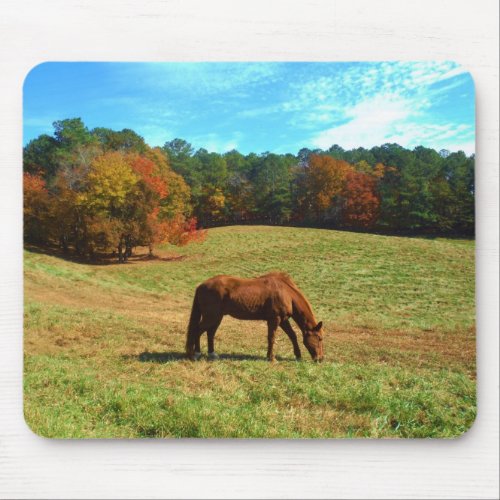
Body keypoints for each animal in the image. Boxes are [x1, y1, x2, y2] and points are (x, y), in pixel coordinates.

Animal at [185, 272, 324, 362]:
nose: (321, 359)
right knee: (197, 331)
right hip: (211, 317)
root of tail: (201, 285)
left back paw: (212, 354)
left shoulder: (283, 320)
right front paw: (271, 358)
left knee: (210, 333)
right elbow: (271, 338)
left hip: (217, 317)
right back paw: (195, 354)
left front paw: (298, 355)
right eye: (320, 338)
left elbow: (292, 336)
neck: (286, 293)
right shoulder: (275, 320)